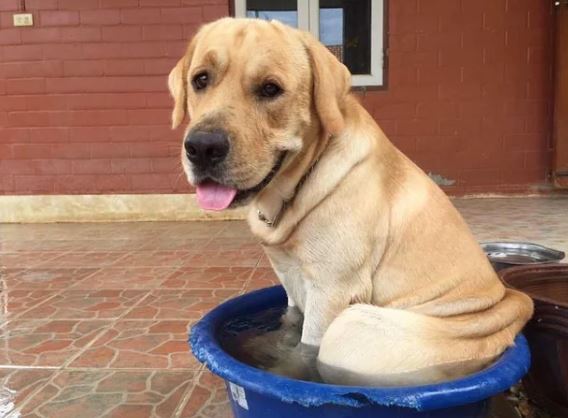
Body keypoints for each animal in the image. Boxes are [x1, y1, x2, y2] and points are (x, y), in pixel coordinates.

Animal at [168, 18, 532, 386]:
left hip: (351, 329)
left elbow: (304, 353)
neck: (299, 182)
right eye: (200, 80)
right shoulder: (291, 287)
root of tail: (511, 308)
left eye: (270, 89)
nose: (202, 147)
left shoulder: (332, 292)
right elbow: (288, 326)